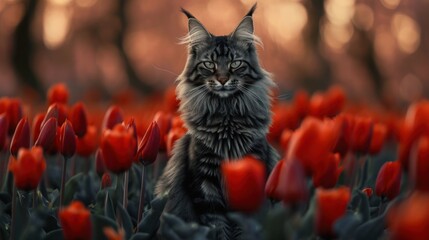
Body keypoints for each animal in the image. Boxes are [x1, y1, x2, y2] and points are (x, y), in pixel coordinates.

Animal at [155, 4, 280, 239]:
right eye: (209, 64)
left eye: (235, 63)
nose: (222, 79)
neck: (226, 118)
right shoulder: (205, 185)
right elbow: (217, 227)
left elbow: (242, 227)